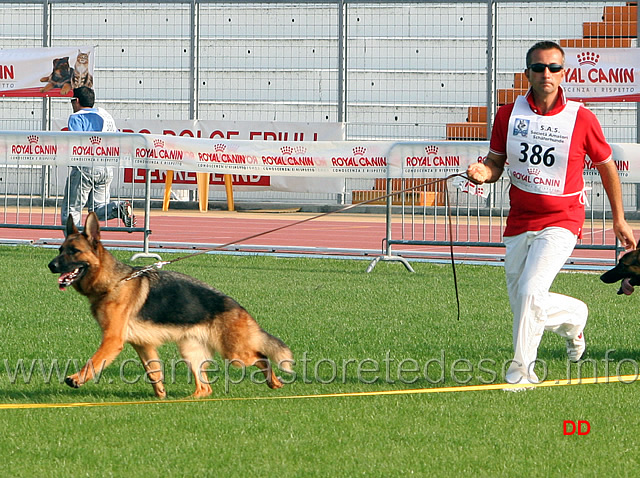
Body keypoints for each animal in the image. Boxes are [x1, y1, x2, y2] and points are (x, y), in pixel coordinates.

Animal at [47, 212, 292, 396]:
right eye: (60, 250)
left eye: (74, 251)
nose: (50, 266)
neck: (114, 282)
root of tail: (238, 307)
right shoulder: (142, 344)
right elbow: (153, 371)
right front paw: (161, 396)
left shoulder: (112, 340)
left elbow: (94, 361)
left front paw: (76, 379)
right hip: (191, 351)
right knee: (205, 388)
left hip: (235, 353)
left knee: (262, 357)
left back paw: (274, 382)